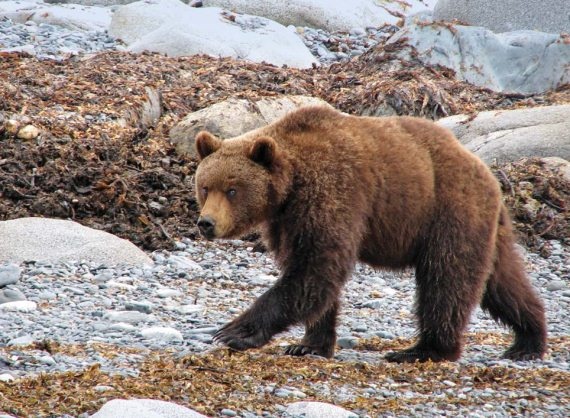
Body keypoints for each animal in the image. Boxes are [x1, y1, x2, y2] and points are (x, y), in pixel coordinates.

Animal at [193, 105, 544, 362]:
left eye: (232, 190)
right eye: (205, 187)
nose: (206, 222)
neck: (289, 187)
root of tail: (485, 170)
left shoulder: (332, 194)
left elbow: (314, 270)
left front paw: (234, 331)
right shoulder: (286, 222)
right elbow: (312, 274)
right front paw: (308, 344)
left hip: (447, 212)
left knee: (446, 279)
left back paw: (423, 350)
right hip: (488, 227)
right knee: (503, 282)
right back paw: (529, 339)